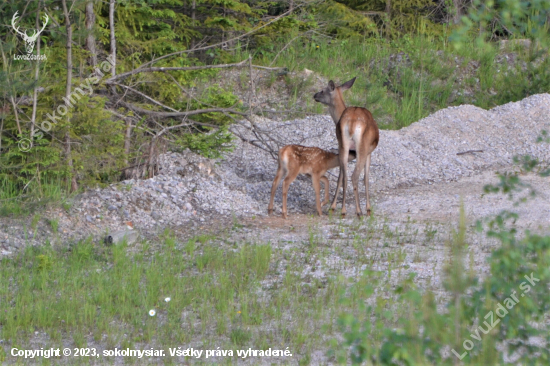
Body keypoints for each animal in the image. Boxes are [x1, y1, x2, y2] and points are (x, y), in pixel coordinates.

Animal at [314, 76, 380, 216]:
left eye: (322, 90)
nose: (314, 95)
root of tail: (352, 121)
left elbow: (341, 176)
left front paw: (332, 207)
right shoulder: (369, 152)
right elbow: (366, 178)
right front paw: (368, 208)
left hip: (343, 145)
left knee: (344, 176)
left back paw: (342, 210)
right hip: (362, 148)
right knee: (354, 176)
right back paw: (359, 211)